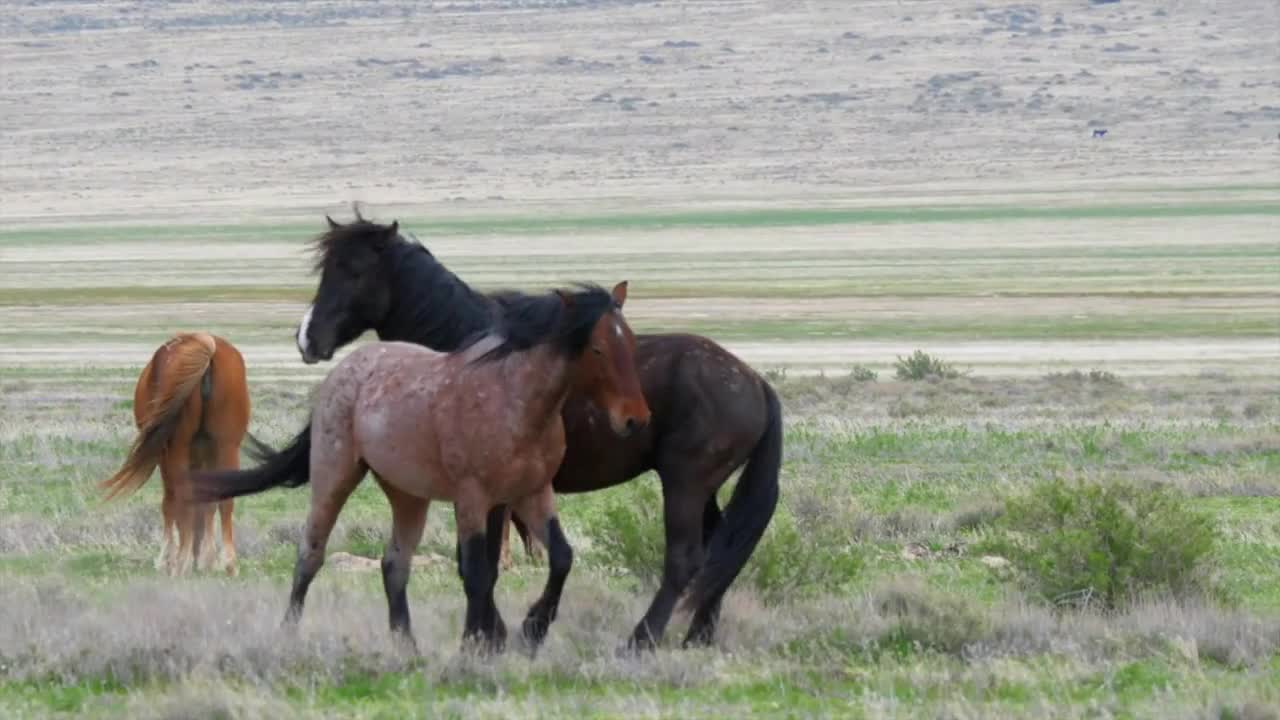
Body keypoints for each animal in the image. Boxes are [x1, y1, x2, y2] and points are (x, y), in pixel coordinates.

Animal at [98, 330, 248, 571]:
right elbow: (206, 503)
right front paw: (205, 558)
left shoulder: (164, 455)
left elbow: (170, 502)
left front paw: (167, 557)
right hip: (227, 446)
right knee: (224, 501)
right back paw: (228, 563)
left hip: (178, 448)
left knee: (182, 498)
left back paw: (182, 562)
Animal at [189, 280, 650, 650]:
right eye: (597, 348)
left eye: (631, 343)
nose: (636, 420)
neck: (516, 400)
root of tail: (343, 371)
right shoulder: (473, 498)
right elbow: (477, 573)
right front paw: (476, 645)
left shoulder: (532, 493)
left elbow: (561, 558)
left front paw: (532, 630)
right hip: (334, 477)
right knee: (310, 555)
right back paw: (289, 633)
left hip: (408, 495)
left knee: (394, 565)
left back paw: (406, 645)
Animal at [294, 210, 783, 648]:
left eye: (354, 271)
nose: (307, 339)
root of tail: (754, 381)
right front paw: (498, 632)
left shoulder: (488, 494)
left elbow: (481, 564)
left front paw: (492, 633)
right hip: (703, 489)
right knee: (720, 551)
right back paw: (699, 635)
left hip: (684, 484)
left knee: (685, 559)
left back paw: (641, 639)